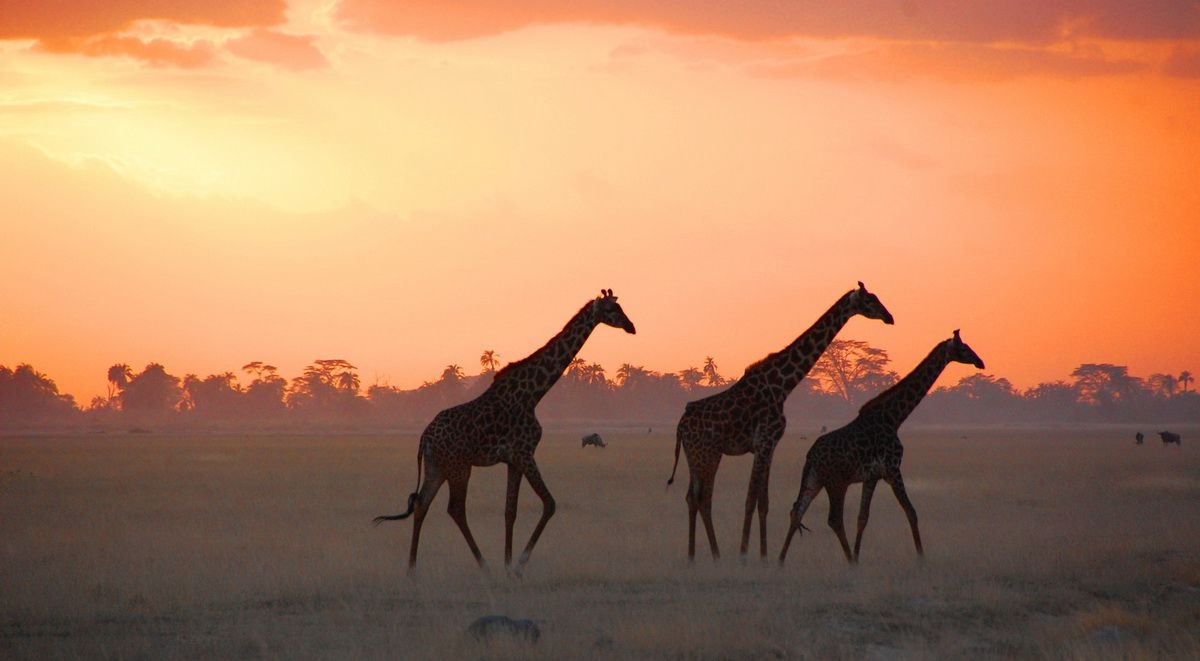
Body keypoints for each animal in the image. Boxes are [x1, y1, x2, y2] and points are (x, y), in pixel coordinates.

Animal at [374, 290, 638, 573]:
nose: (631, 327)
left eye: (620, 307)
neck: (534, 394)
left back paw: (412, 571)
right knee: (455, 509)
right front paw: (518, 565)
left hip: (437, 466)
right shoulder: (525, 453)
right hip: (459, 467)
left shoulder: (513, 460)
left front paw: (508, 564)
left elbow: (510, 511)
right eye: (612, 310)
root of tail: (424, 437)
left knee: (422, 504)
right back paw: (483, 567)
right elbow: (549, 504)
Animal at [667, 281, 892, 561]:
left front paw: (763, 555)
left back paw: (697, 557)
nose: (889, 317)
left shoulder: (769, 446)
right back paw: (710, 555)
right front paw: (744, 554)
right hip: (706, 454)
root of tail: (681, 425)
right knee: (701, 498)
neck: (783, 385)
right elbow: (750, 500)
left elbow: (763, 502)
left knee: (694, 497)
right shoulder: (764, 441)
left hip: (698, 454)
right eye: (870, 301)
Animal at [777, 328, 984, 563]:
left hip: (815, 479)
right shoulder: (893, 469)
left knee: (797, 511)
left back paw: (781, 561)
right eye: (964, 348)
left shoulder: (872, 476)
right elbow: (911, 512)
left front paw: (859, 556)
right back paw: (848, 561)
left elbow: (863, 518)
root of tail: (810, 456)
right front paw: (921, 557)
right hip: (837, 481)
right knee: (834, 519)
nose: (980, 362)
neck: (895, 417)